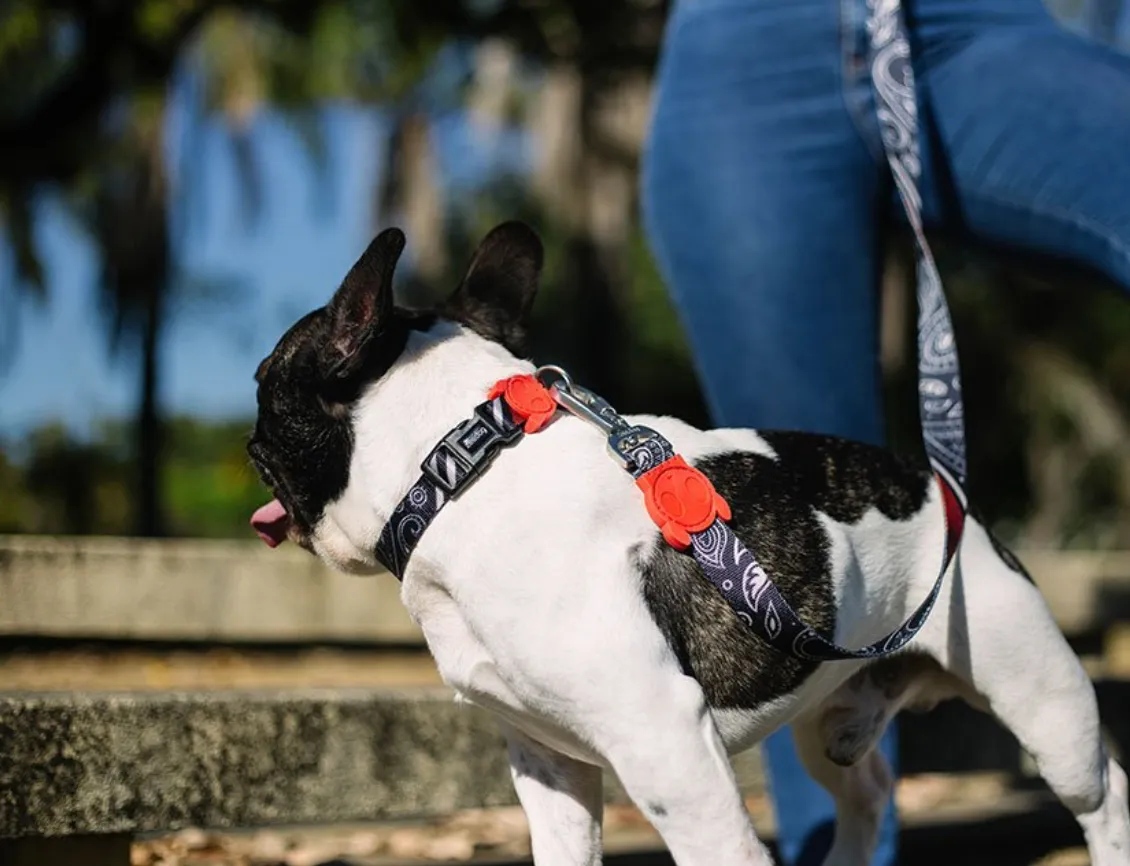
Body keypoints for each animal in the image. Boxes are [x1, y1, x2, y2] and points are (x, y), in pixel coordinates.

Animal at [249, 223, 1130, 866]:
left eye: (261, 377)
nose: (249, 431)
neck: (458, 464)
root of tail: (946, 492)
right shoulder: (549, 763)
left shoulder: (662, 740)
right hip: (826, 712)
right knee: (865, 792)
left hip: (1042, 699)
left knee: (1102, 792)